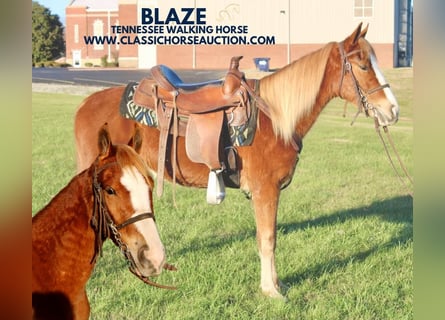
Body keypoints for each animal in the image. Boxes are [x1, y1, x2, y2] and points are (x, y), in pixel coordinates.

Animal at [73, 23, 398, 298]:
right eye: (363, 65)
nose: (392, 110)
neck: (273, 118)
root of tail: (85, 104)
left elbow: (268, 237)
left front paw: (276, 284)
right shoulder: (266, 190)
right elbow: (268, 239)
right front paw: (271, 291)